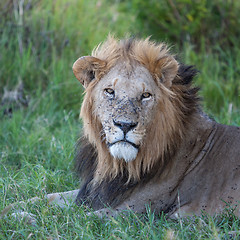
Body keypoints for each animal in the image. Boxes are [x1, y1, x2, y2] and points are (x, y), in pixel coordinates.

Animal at [1, 35, 240, 221]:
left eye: (146, 95)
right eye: (110, 91)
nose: (125, 125)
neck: (115, 165)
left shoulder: (136, 211)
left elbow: (70, 218)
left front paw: (23, 218)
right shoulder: (93, 193)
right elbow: (43, 198)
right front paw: (9, 210)